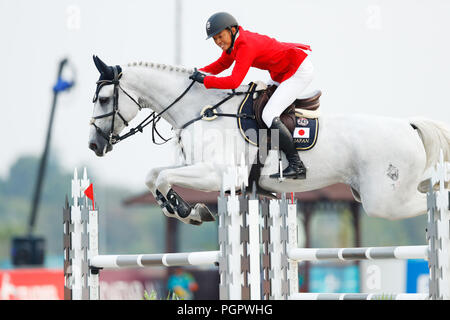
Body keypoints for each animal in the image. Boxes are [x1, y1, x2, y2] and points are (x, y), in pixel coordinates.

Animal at [89, 55, 450, 225]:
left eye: (104, 99)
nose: (94, 145)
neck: (202, 110)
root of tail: (409, 127)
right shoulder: (196, 167)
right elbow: (154, 176)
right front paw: (185, 210)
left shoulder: (219, 174)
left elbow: (162, 177)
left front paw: (185, 209)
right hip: (380, 193)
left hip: (385, 200)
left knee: (429, 201)